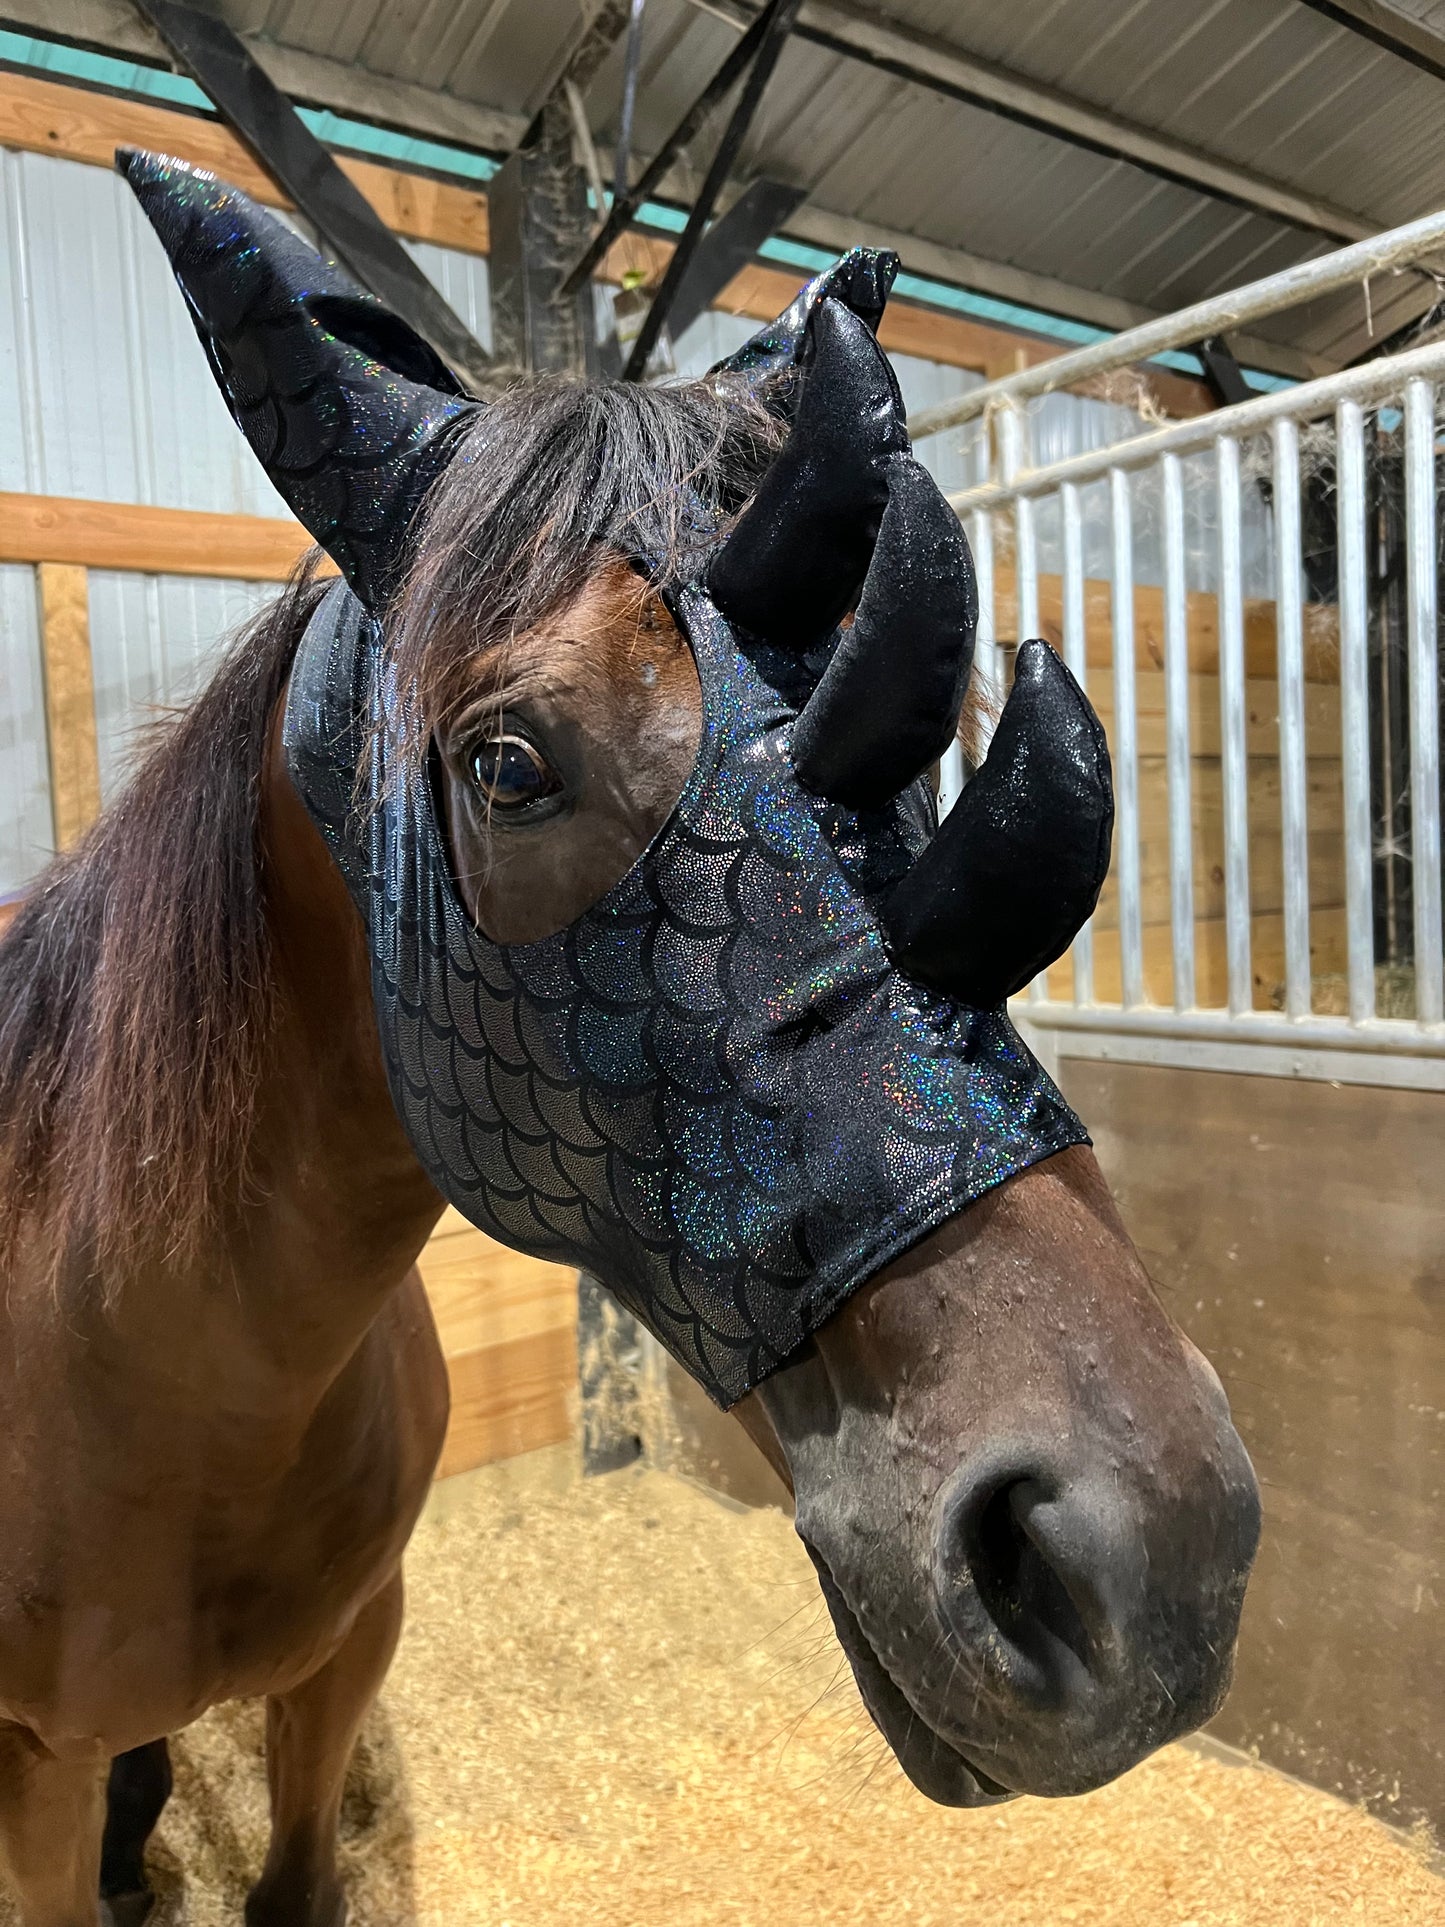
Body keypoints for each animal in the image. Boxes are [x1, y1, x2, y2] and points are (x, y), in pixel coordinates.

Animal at [0, 155, 1260, 1926]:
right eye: (508, 765)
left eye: (933, 767)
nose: (1156, 1544)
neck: (162, 1382)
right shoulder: (24, 1769)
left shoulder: (343, 1668)